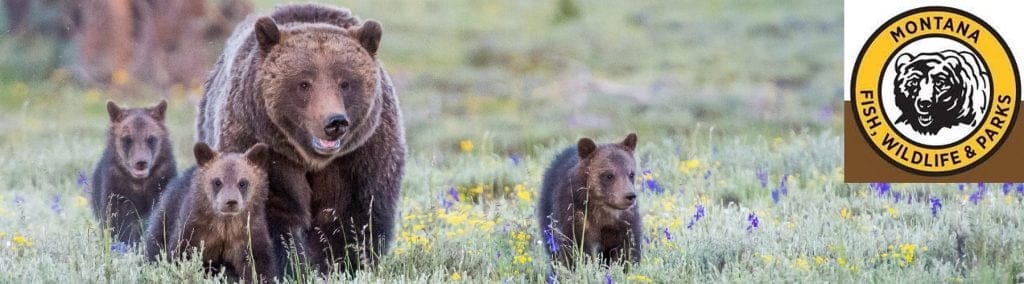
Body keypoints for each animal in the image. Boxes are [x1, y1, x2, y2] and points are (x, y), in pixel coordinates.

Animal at [91, 100, 175, 244]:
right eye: (127, 139)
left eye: (151, 138)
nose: (141, 162)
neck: (139, 184)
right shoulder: (116, 188)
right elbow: (117, 222)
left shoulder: (161, 181)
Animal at [142, 142, 276, 278]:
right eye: (217, 181)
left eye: (242, 182)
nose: (231, 202)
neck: (225, 225)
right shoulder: (194, 229)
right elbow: (180, 254)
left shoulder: (249, 233)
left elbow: (258, 263)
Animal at [197, 3, 405, 270]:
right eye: (304, 83)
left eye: (345, 82)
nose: (334, 122)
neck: (311, 160)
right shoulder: (263, 147)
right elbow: (270, 214)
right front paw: (290, 265)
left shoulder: (360, 157)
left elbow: (354, 218)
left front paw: (343, 264)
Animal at [536, 132, 638, 264]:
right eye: (609, 175)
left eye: (631, 174)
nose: (629, 195)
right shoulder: (574, 215)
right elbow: (574, 248)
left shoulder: (623, 222)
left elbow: (628, 249)